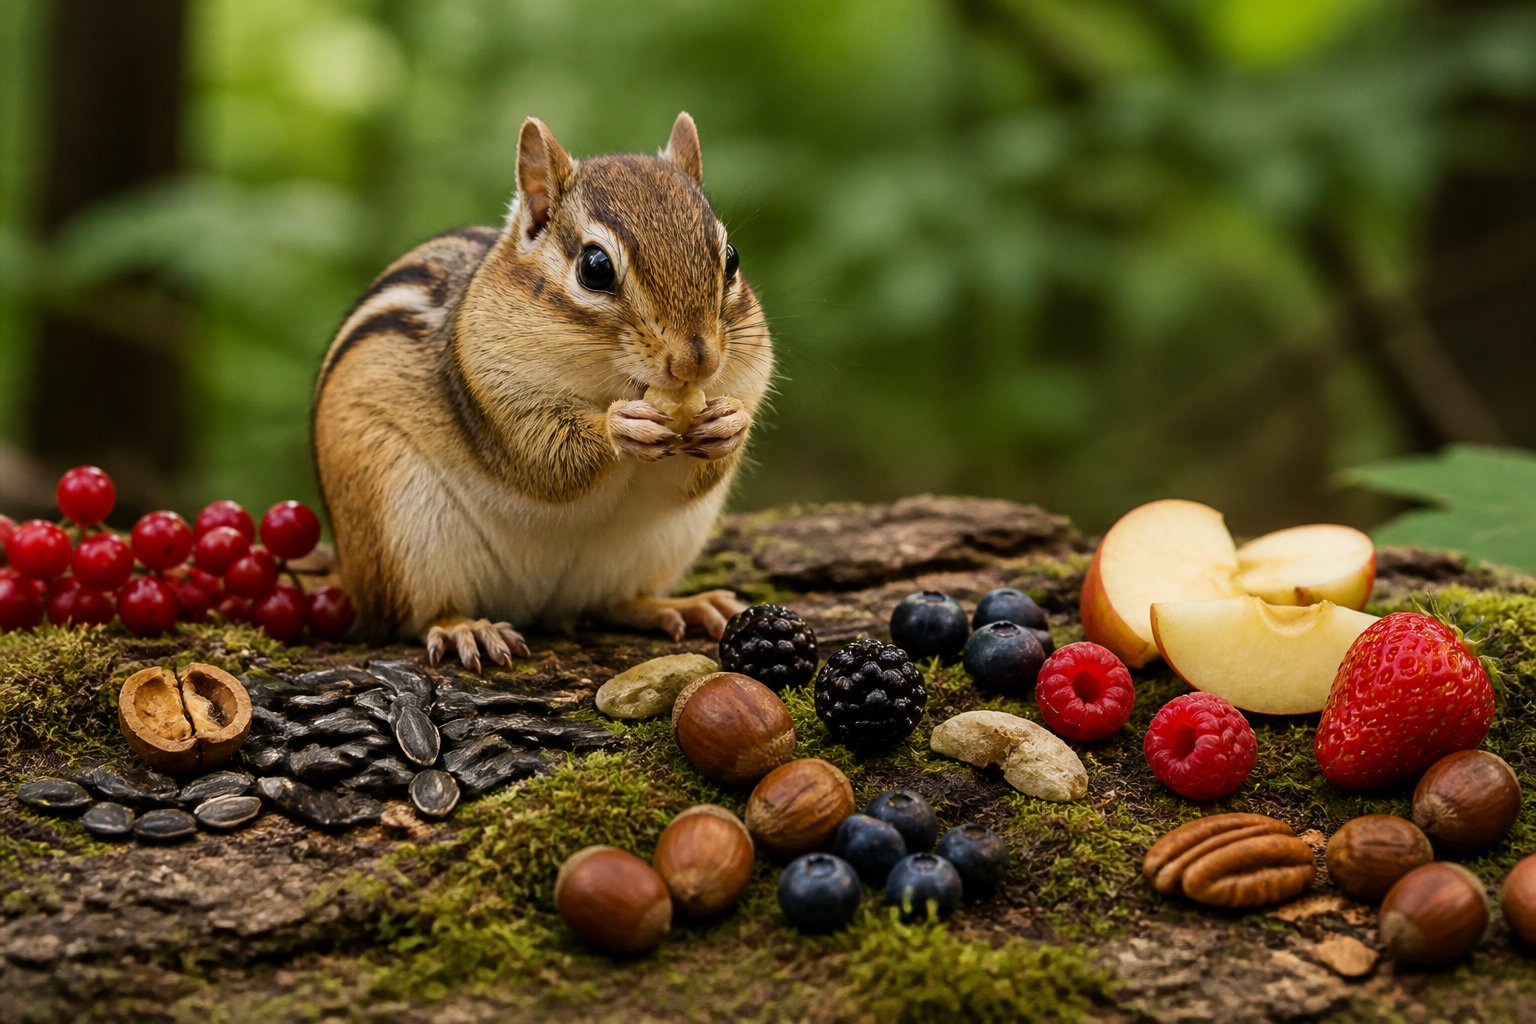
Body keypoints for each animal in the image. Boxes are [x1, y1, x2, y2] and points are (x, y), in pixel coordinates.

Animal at [311, 113, 773, 670]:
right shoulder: (494, 396)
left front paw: (730, 423)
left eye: (732, 258)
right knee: (419, 616)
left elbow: (700, 473)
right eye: (595, 267)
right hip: (396, 529)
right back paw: (467, 628)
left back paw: (677, 604)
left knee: (615, 601)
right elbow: (546, 459)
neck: (608, 383)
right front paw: (622, 427)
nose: (696, 362)